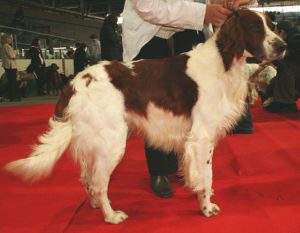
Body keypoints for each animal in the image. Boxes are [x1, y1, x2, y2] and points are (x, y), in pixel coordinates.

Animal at [5, 9, 286, 224]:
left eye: (271, 26)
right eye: (255, 28)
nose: (283, 46)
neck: (224, 60)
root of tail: (75, 82)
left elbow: (195, 173)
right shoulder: (202, 137)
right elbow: (207, 175)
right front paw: (207, 207)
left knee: (87, 178)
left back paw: (96, 206)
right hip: (112, 142)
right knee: (98, 182)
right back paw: (111, 216)